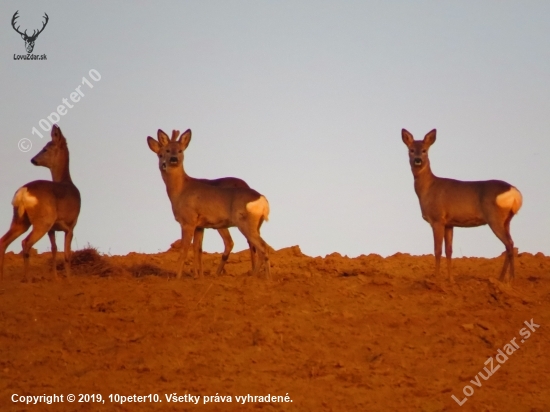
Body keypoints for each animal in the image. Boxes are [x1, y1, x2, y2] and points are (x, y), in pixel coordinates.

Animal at [0, 124, 81, 280]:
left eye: (45, 149)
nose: (33, 160)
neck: (68, 182)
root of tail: (23, 191)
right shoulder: (71, 225)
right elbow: (67, 254)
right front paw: (69, 280)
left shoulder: (53, 229)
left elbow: (55, 250)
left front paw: (55, 278)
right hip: (43, 221)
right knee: (25, 243)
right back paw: (27, 278)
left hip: (20, 220)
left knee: (3, 241)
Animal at [404, 129, 524, 284]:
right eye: (411, 150)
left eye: (424, 150)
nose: (417, 160)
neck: (428, 189)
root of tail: (515, 192)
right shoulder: (449, 223)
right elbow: (449, 250)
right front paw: (451, 279)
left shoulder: (437, 219)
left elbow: (437, 250)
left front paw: (436, 279)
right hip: (507, 220)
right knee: (510, 245)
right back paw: (501, 278)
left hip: (494, 218)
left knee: (509, 244)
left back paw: (510, 280)